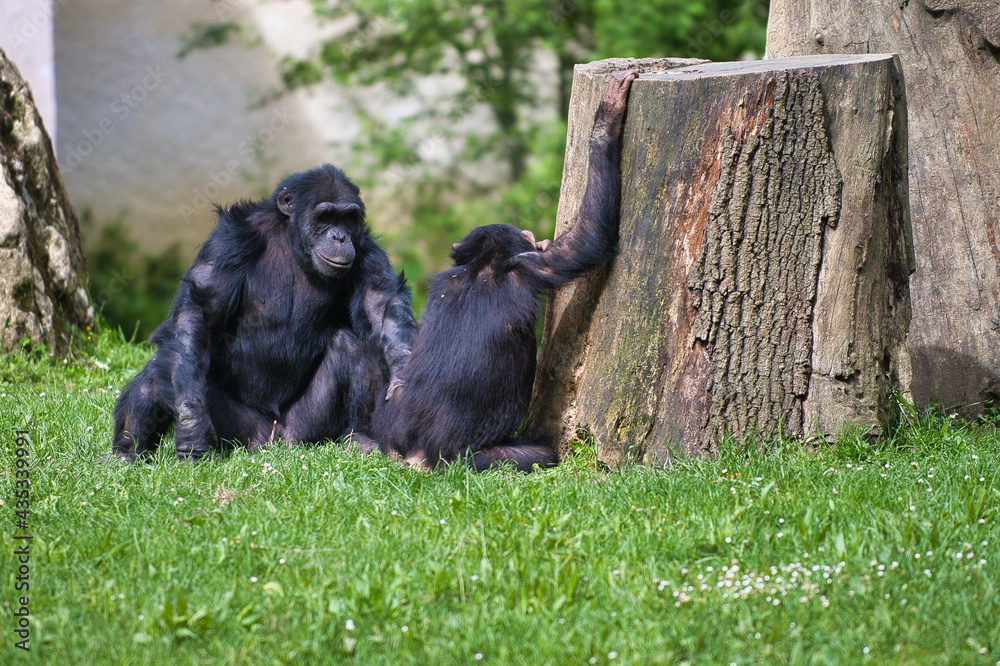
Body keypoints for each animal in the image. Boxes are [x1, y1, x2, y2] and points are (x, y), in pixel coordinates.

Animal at [110, 163, 418, 460]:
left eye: (348, 218)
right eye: (325, 217)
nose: (340, 237)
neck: (292, 244)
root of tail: (273, 437)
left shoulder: (367, 252)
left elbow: (382, 309)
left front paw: (405, 385)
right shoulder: (228, 244)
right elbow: (198, 315)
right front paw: (191, 426)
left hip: (306, 428)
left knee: (353, 347)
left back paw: (360, 437)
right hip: (239, 431)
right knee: (164, 366)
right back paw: (126, 453)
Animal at [370, 70, 640, 470]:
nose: (536, 238)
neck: (484, 265)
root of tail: (415, 455)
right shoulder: (533, 267)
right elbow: (591, 236)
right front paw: (607, 118)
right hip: (466, 458)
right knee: (537, 454)